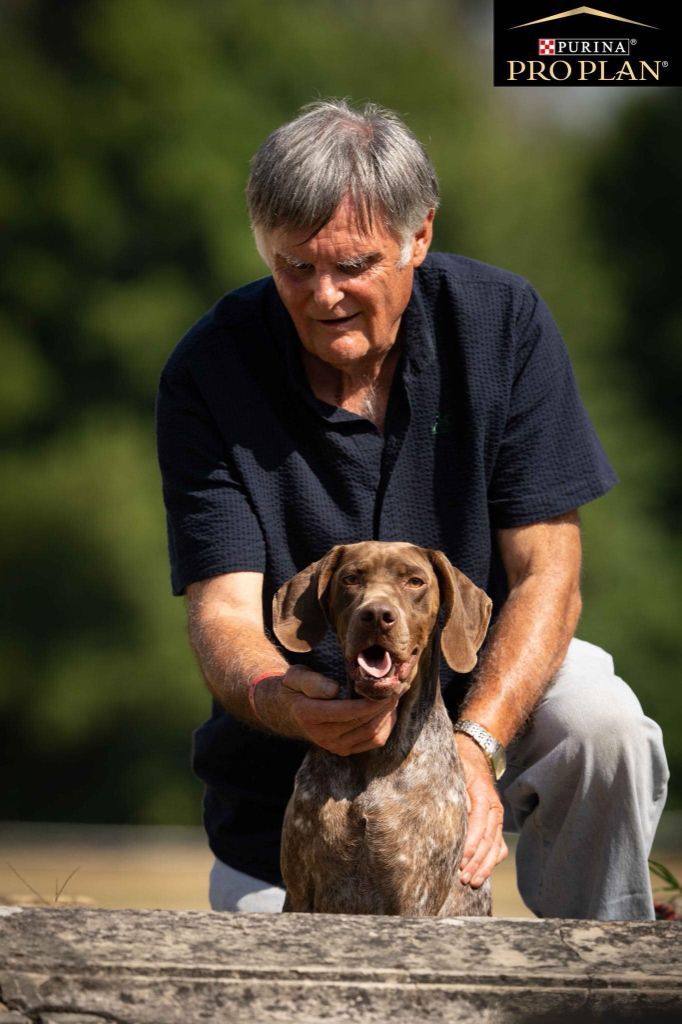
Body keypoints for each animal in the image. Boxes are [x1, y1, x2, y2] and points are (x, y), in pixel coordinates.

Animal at [270, 540, 489, 917]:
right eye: (351, 579)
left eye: (415, 582)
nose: (376, 615)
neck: (376, 757)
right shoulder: (300, 890)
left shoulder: (413, 895)